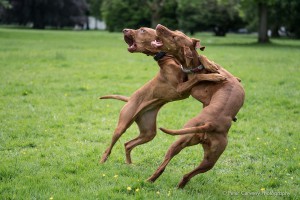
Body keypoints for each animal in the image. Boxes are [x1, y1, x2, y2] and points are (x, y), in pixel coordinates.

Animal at [149, 24, 245, 188]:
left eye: (175, 36)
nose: (159, 26)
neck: (194, 67)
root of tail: (210, 124)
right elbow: (202, 71)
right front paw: (212, 71)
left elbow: (203, 62)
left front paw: (210, 66)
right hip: (198, 150)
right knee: (180, 170)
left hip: (199, 154)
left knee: (179, 171)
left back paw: (160, 182)